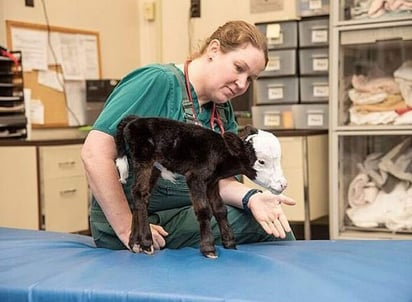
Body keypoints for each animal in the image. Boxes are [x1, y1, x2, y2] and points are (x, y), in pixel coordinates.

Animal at [113, 115, 286, 258]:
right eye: (261, 161)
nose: (283, 184)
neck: (219, 154)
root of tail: (135, 120)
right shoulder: (195, 177)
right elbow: (203, 210)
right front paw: (209, 248)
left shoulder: (212, 181)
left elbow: (220, 209)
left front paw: (230, 243)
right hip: (143, 158)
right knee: (140, 193)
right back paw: (146, 242)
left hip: (155, 166)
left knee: (139, 196)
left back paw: (134, 243)